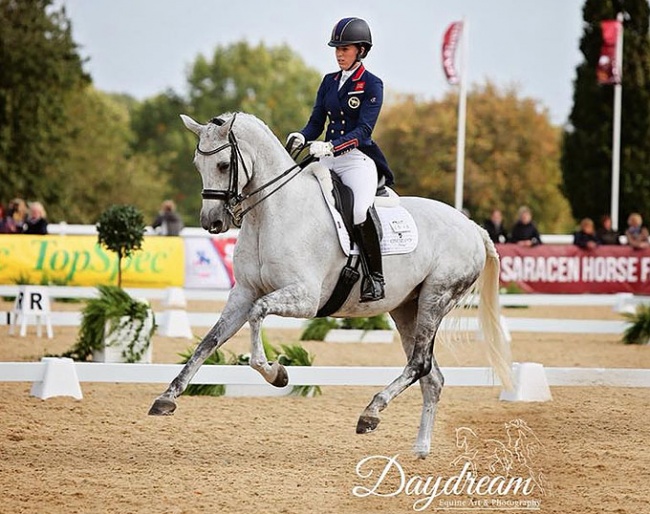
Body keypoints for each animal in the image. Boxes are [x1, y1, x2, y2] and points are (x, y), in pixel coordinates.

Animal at [148, 112, 512, 456]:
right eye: (197, 165)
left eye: (224, 165)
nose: (212, 222)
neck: (271, 214)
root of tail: (472, 226)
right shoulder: (243, 293)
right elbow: (209, 341)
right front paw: (167, 397)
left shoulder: (305, 298)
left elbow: (258, 315)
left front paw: (276, 373)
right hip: (407, 309)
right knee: (431, 376)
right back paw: (419, 448)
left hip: (435, 299)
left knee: (420, 365)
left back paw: (371, 412)